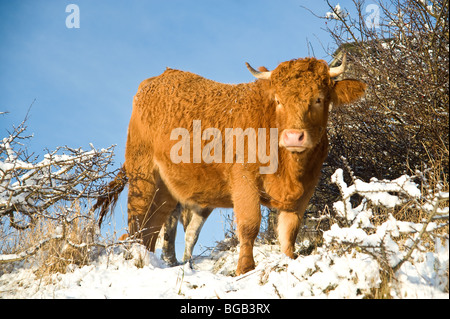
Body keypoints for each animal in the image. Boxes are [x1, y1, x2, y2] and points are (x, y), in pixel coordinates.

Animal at [96, 55, 366, 276]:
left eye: (319, 99)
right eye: (278, 101)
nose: (293, 137)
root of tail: (158, 78)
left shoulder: (305, 190)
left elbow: (289, 231)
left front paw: (288, 261)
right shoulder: (244, 182)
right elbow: (249, 225)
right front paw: (245, 269)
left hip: (166, 190)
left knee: (152, 228)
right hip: (142, 176)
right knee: (137, 221)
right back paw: (136, 259)